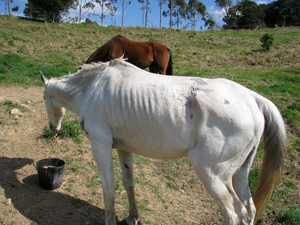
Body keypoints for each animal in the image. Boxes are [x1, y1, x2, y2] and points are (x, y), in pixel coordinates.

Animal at [39, 58, 286, 225]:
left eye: (43, 97)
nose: (54, 128)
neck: (93, 88)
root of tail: (252, 98)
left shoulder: (100, 146)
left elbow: (108, 190)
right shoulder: (123, 148)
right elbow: (129, 183)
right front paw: (132, 217)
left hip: (212, 175)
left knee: (233, 212)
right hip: (239, 173)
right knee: (249, 209)